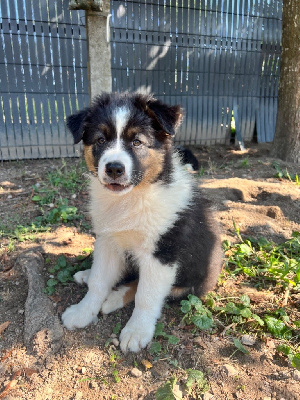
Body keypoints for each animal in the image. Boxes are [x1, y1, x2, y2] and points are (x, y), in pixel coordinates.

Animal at [62, 93, 223, 354]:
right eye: (100, 140)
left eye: (137, 142)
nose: (114, 168)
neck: (131, 198)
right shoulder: (108, 240)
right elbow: (98, 281)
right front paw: (82, 312)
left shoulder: (162, 253)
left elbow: (146, 295)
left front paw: (137, 331)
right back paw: (91, 278)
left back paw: (114, 299)